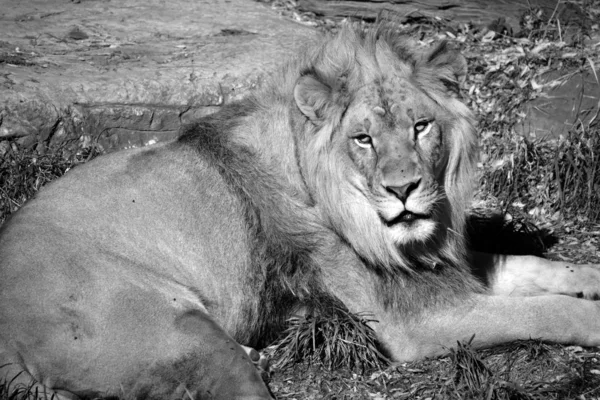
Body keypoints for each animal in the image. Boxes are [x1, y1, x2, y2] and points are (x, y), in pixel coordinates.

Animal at [1, 22, 600, 400]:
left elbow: (533, 267)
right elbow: (541, 311)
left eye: (420, 126)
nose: (404, 189)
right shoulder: (409, 325)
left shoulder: (441, 269)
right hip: (183, 330)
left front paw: (588, 276)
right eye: (363, 139)